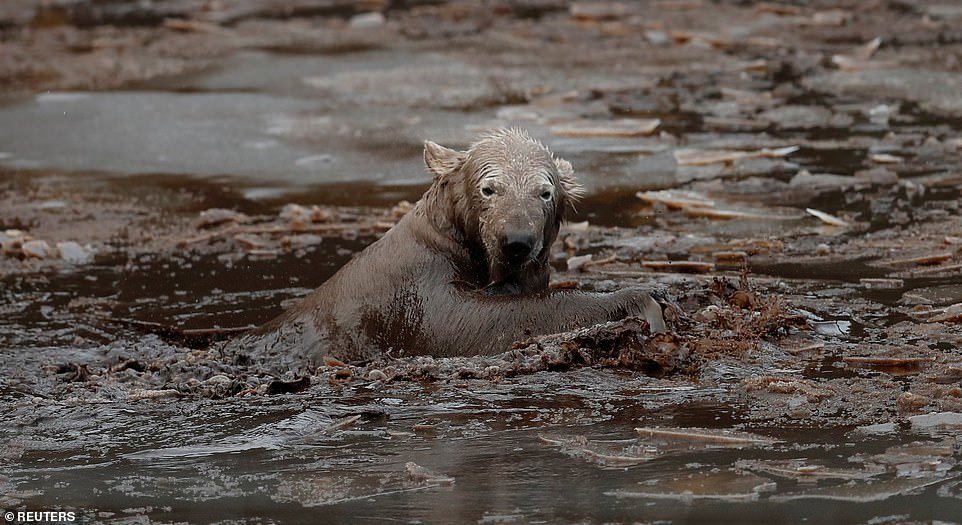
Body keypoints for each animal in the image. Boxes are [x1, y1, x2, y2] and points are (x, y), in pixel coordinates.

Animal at [231, 128, 668, 370]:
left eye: (545, 192)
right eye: (489, 188)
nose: (516, 242)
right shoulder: (415, 287)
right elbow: (462, 326)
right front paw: (641, 296)